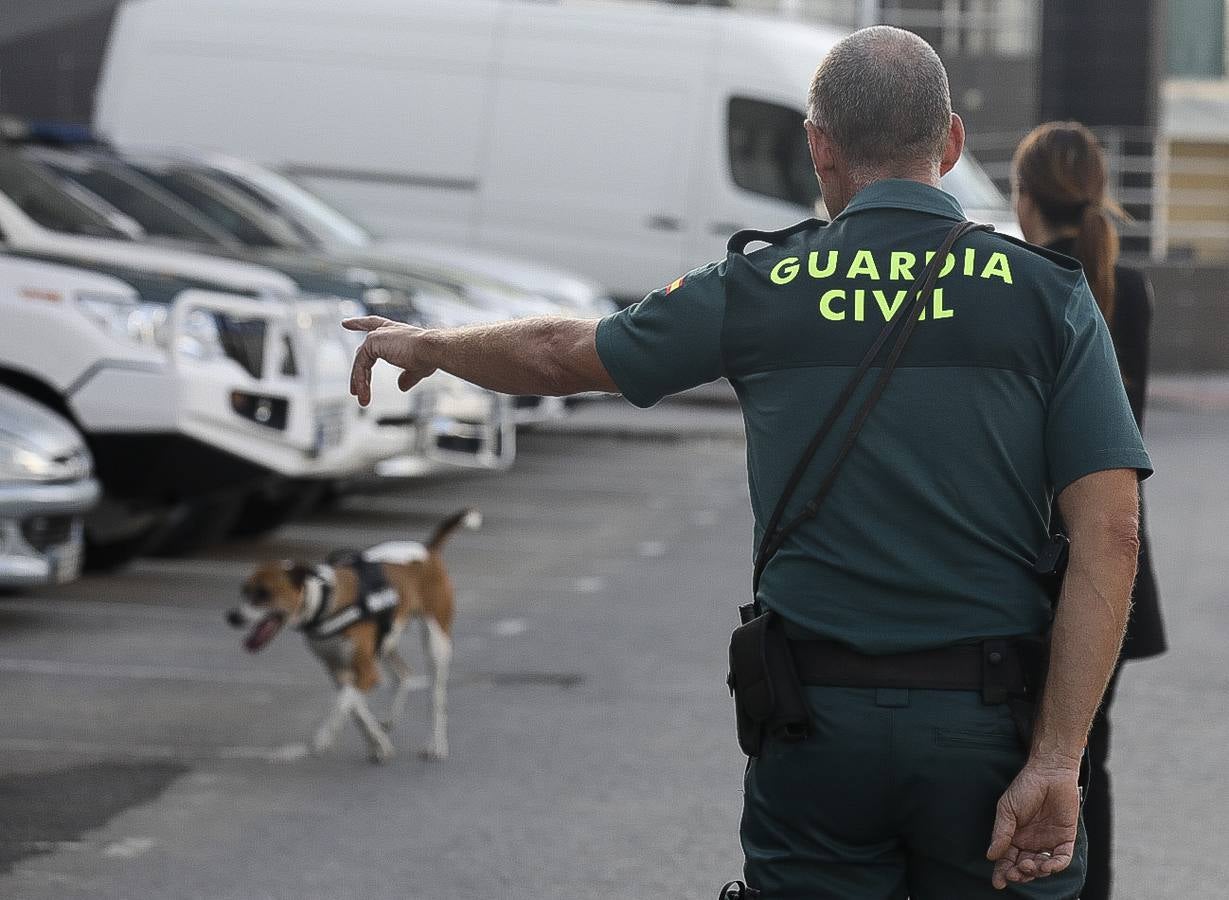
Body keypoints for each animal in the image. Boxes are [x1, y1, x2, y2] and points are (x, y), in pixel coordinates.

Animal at [226, 506, 479, 757]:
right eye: (244, 590)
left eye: (263, 593)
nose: (232, 617)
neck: (325, 601)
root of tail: (428, 551)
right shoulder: (338, 670)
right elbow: (356, 708)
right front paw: (378, 743)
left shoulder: (366, 672)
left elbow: (343, 702)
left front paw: (325, 735)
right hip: (386, 640)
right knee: (403, 674)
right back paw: (390, 720)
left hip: (436, 643)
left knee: (436, 699)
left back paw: (435, 745)